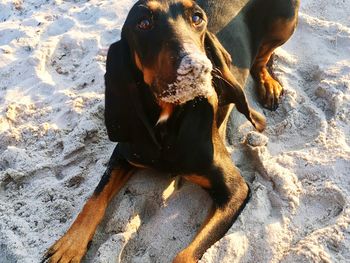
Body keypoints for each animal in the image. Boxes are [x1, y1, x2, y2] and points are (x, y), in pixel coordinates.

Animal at [43, 0, 300, 263]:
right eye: (144, 23)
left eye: (197, 17)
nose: (197, 67)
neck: (167, 122)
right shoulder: (126, 151)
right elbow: (95, 198)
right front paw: (69, 245)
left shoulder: (235, 190)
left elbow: (184, 255)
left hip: (286, 19)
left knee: (263, 57)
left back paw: (269, 84)